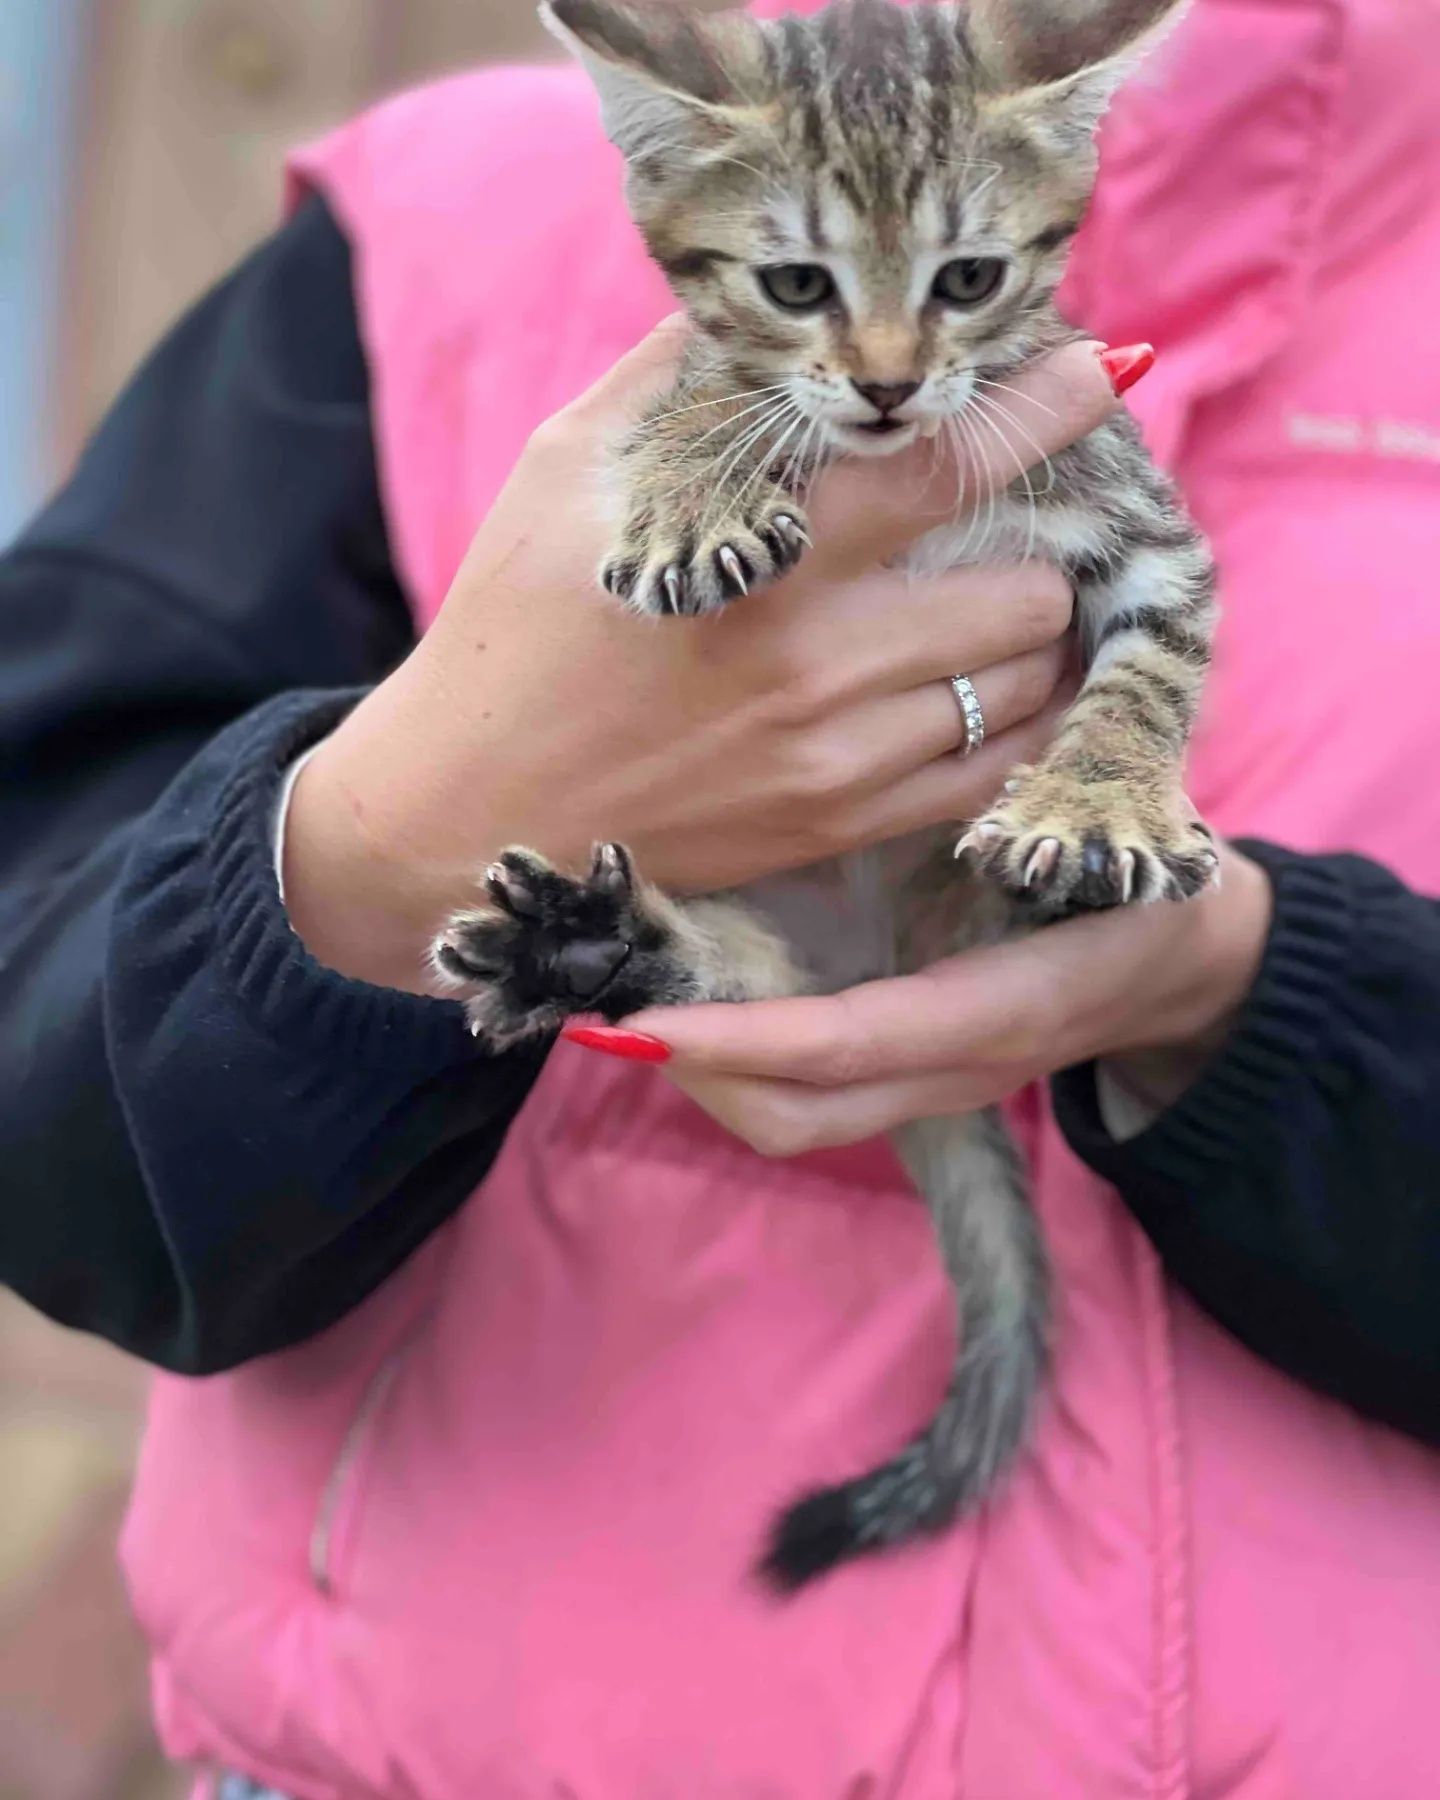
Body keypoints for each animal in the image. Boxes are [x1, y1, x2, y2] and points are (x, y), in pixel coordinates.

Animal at [435, 0, 1216, 1591]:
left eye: (969, 279)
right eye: (797, 283)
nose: (887, 385)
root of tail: (885, 962)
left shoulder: (1143, 528)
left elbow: (1152, 671)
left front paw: (1099, 804)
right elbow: (709, 384)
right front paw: (698, 481)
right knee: (756, 985)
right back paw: (593, 949)